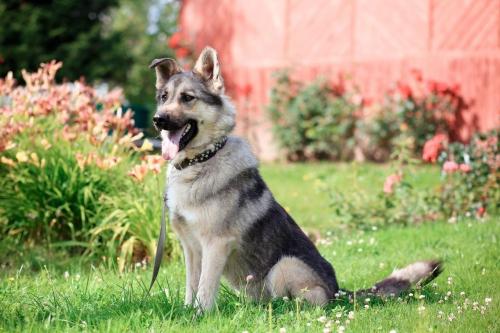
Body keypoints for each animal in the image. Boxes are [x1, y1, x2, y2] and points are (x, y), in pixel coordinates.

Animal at [149, 46, 442, 312]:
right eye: (164, 97)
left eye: (188, 98)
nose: (158, 120)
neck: (201, 161)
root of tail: (339, 291)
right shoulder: (191, 249)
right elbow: (192, 287)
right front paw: (187, 312)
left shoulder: (215, 245)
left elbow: (205, 289)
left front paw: (199, 316)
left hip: (285, 265)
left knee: (303, 303)